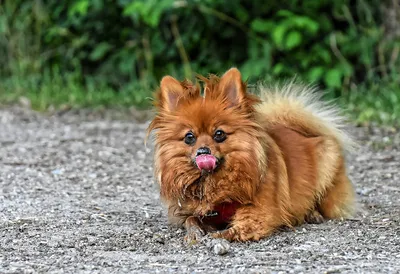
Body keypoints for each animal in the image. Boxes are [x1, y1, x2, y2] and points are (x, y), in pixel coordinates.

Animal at [148, 68, 354, 242]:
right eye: (189, 137)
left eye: (219, 134)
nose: (203, 151)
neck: (213, 183)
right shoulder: (197, 211)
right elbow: (190, 219)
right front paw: (194, 232)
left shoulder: (259, 214)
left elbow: (236, 229)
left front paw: (217, 235)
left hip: (327, 164)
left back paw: (312, 214)